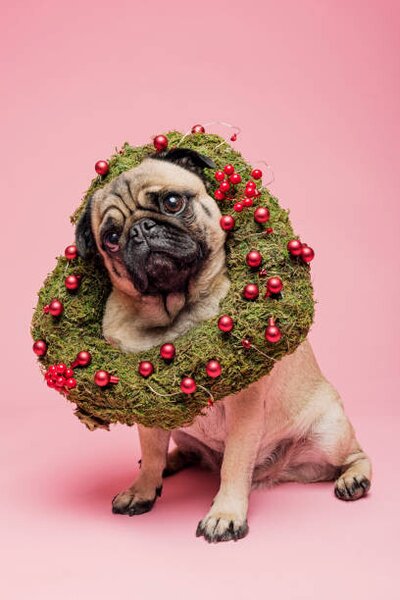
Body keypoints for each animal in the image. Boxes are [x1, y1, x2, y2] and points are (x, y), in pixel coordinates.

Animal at [76, 149, 372, 544]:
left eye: (172, 202)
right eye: (110, 237)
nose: (140, 230)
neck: (177, 308)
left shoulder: (244, 407)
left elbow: (234, 462)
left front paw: (225, 515)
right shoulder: (148, 409)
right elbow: (151, 450)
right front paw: (142, 488)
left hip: (331, 432)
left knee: (354, 454)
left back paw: (354, 478)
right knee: (182, 451)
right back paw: (169, 464)